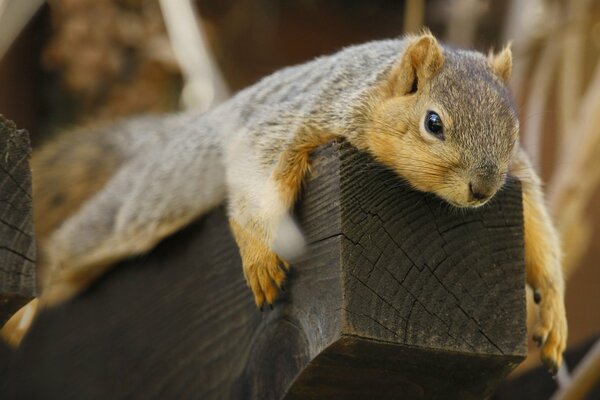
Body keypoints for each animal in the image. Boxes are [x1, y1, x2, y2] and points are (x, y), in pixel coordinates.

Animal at [1, 32, 568, 374]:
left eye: (514, 127)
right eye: (433, 123)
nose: (483, 188)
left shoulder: (520, 174)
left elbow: (540, 231)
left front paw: (553, 313)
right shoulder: (305, 119)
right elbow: (252, 185)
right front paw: (258, 258)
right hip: (142, 207)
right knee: (75, 247)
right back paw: (28, 313)